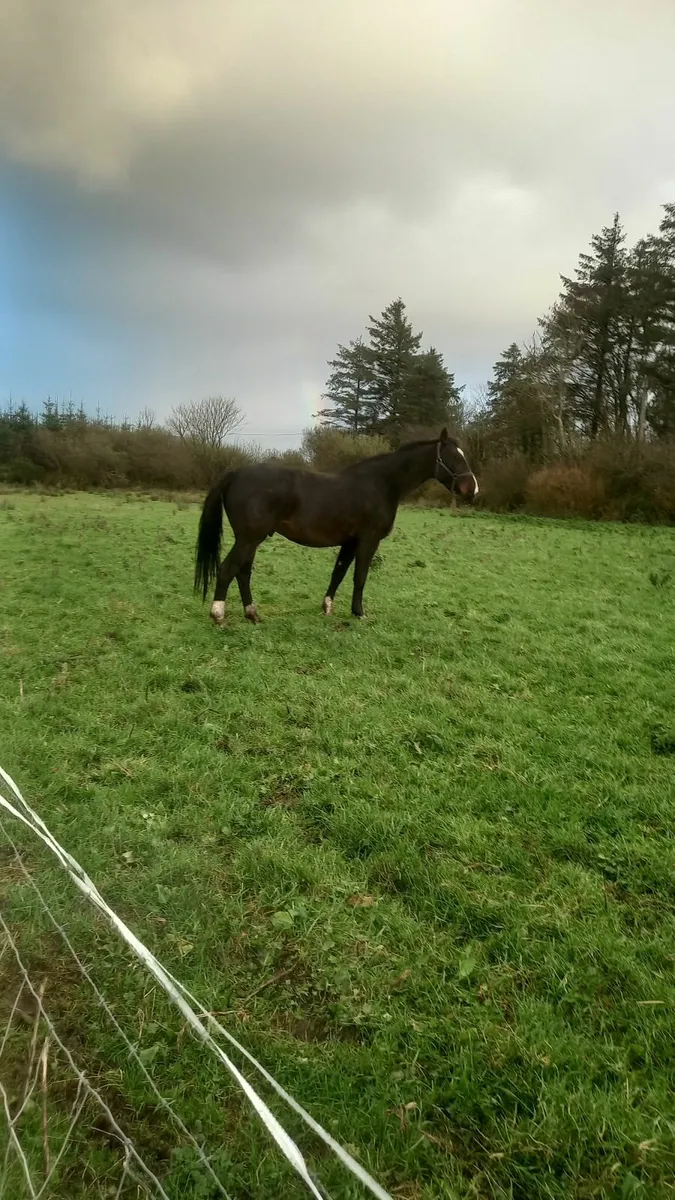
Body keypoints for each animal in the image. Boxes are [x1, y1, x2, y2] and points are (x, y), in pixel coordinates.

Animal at [194, 427, 478, 625]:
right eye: (453, 457)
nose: (472, 489)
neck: (382, 484)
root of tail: (235, 474)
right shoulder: (368, 540)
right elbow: (360, 576)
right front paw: (359, 613)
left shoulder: (350, 542)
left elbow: (338, 573)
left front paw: (327, 607)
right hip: (249, 538)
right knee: (228, 569)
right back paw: (218, 615)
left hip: (251, 539)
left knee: (242, 572)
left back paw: (252, 615)